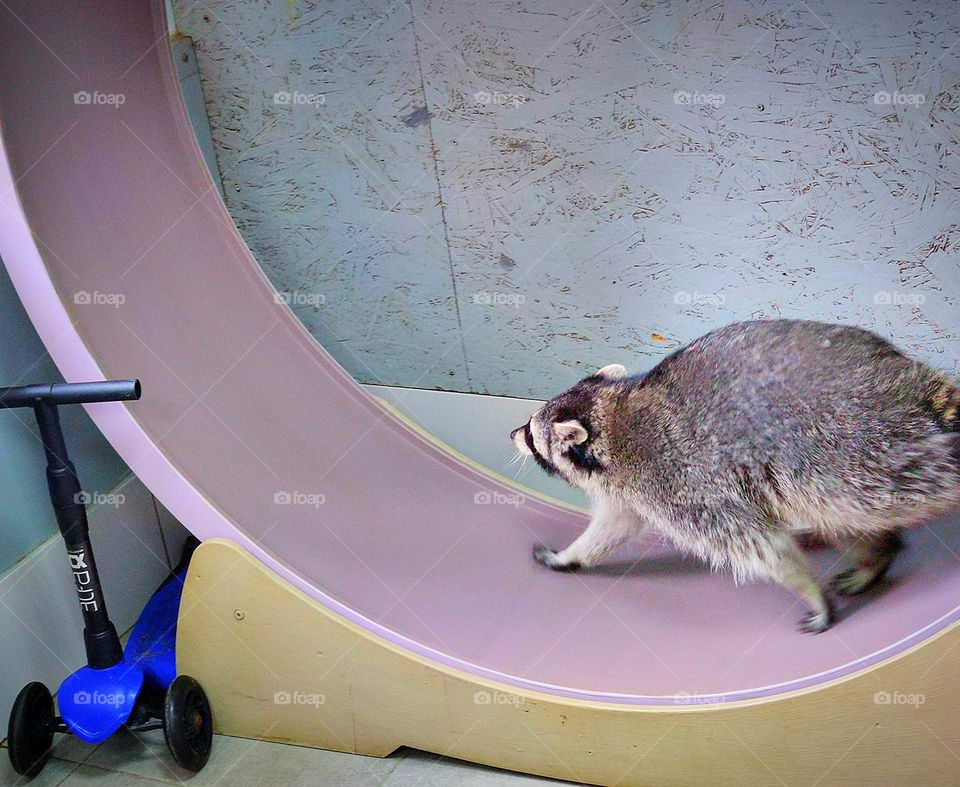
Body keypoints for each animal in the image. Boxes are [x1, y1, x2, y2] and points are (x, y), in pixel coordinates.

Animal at [511, 319, 960, 633]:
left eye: (532, 433)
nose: (512, 433)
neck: (614, 415)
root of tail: (908, 381)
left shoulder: (680, 480)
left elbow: (757, 545)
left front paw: (806, 587)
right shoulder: (632, 488)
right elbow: (614, 526)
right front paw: (571, 555)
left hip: (855, 449)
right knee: (840, 520)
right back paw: (877, 554)